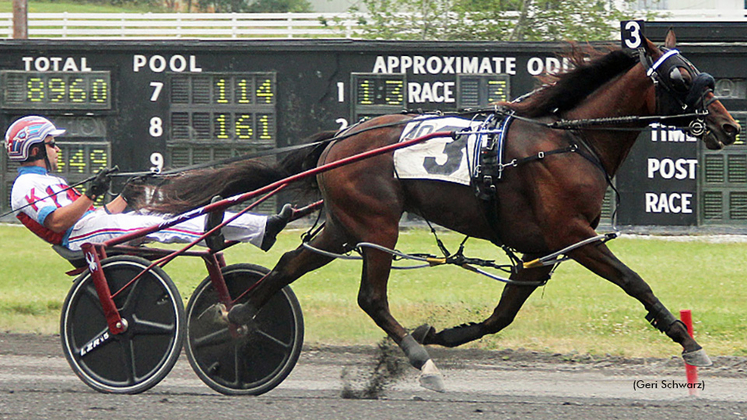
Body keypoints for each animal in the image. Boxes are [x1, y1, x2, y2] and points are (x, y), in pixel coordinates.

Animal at [148, 32, 744, 390]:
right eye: (683, 75)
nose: (728, 125)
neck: (569, 143)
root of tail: (339, 139)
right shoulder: (569, 234)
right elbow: (634, 280)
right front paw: (689, 342)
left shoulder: (541, 249)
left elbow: (503, 314)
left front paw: (443, 332)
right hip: (376, 223)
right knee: (370, 297)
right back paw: (421, 361)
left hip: (341, 226)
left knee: (290, 265)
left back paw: (235, 318)